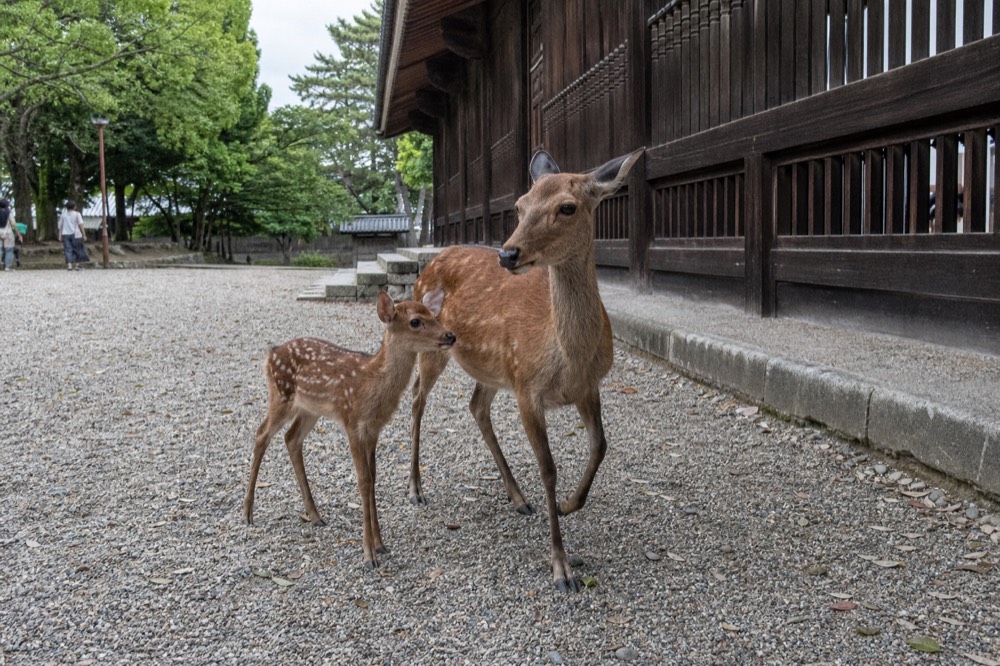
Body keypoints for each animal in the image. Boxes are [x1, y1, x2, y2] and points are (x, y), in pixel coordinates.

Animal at [242, 289, 455, 569]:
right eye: (416, 321)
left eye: (433, 314)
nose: (450, 335)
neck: (372, 385)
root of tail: (271, 353)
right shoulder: (352, 422)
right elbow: (363, 480)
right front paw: (368, 554)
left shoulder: (374, 429)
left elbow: (373, 478)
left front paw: (381, 544)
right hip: (281, 395)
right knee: (261, 434)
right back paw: (247, 513)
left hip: (309, 409)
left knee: (291, 438)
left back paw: (315, 515)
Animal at [408, 148, 643, 592]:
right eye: (519, 205)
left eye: (567, 207)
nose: (508, 254)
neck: (568, 358)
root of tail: (433, 259)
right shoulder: (527, 387)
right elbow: (548, 468)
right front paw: (561, 568)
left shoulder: (588, 387)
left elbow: (601, 445)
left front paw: (569, 505)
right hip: (429, 340)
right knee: (416, 398)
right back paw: (415, 488)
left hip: (492, 368)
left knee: (476, 406)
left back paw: (518, 497)